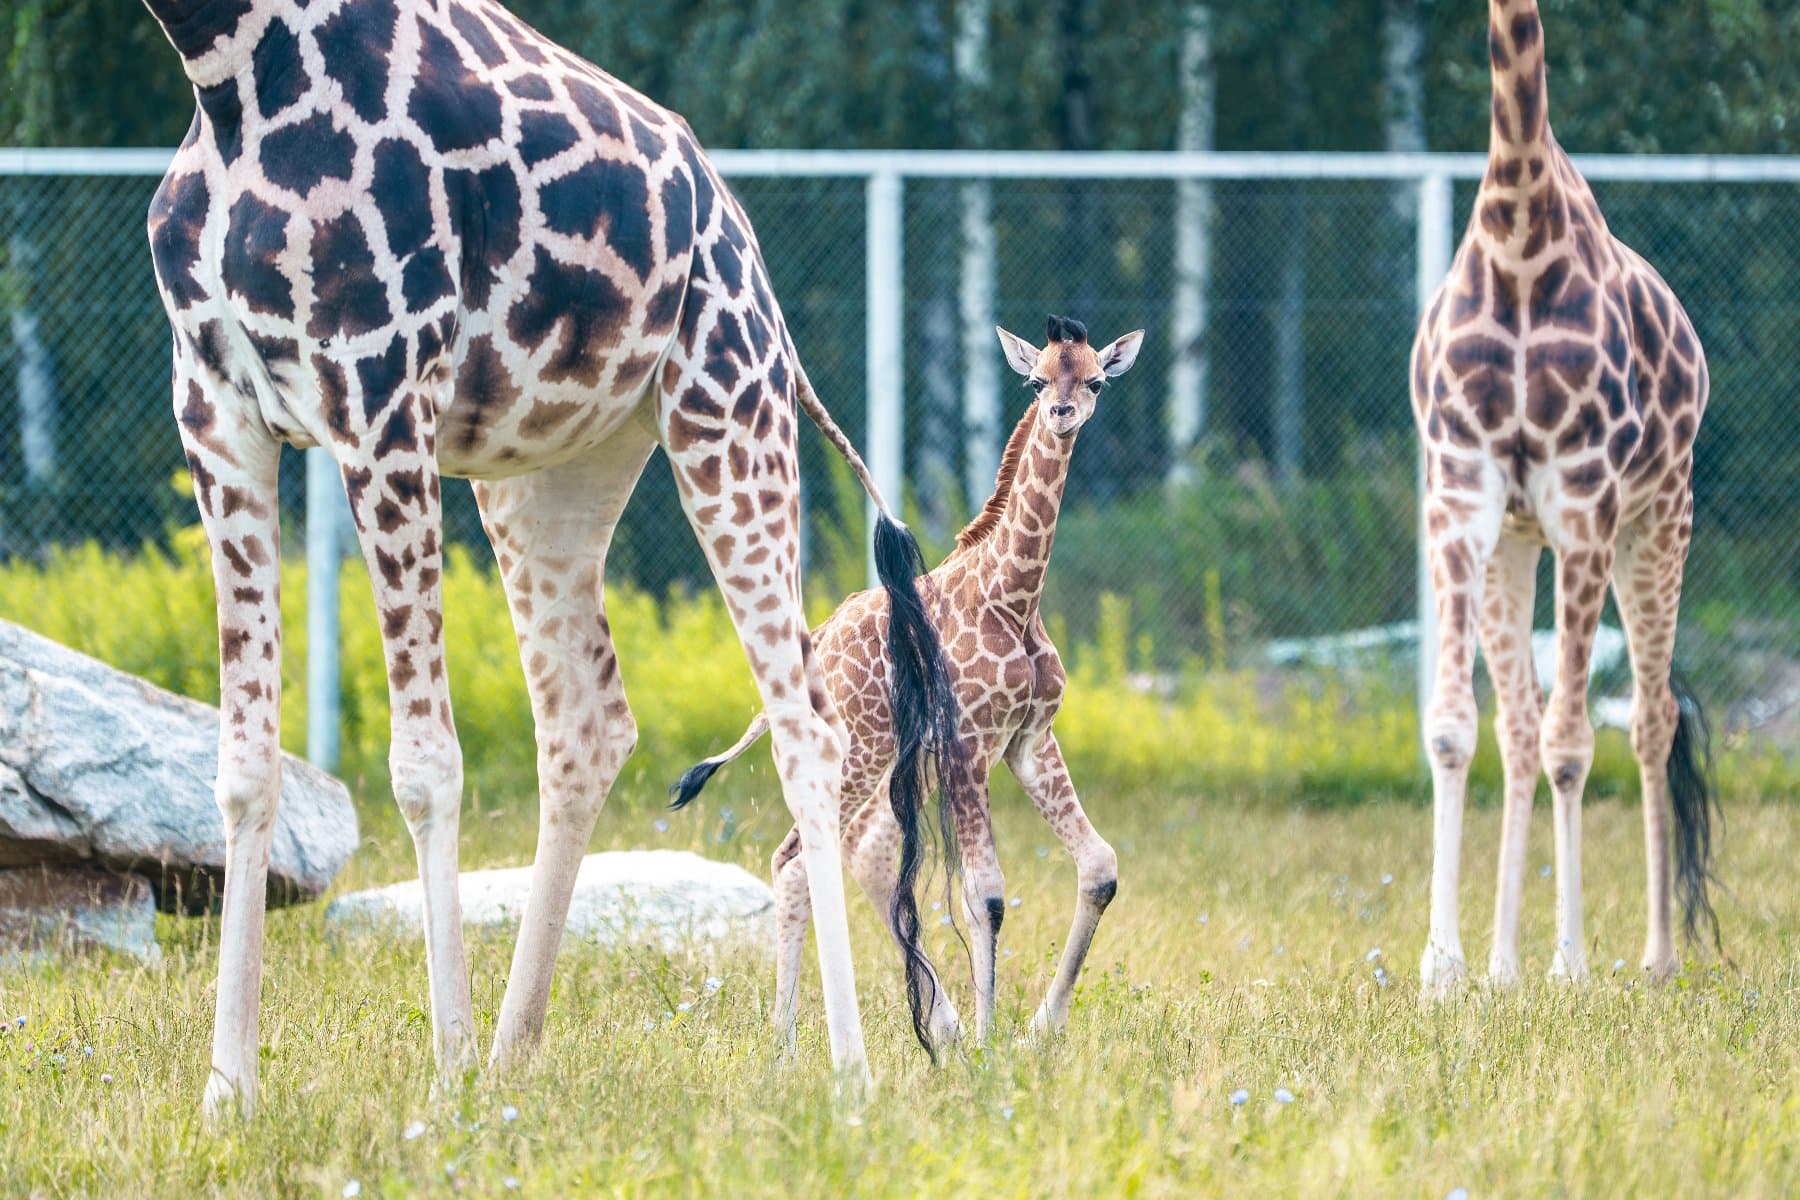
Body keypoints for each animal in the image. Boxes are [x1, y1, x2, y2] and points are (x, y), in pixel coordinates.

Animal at [139, 0, 969, 1116]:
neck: (227, 67)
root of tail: (740, 230)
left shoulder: (379, 392)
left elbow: (423, 764)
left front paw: (442, 1078)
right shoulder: (214, 407)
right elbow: (242, 767)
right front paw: (228, 1093)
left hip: (728, 403)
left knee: (808, 732)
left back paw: (847, 1070)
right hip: (547, 475)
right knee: (587, 720)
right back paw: (510, 1053)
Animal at [675, 316, 1144, 1050]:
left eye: (1095, 380)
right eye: (1037, 380)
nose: (1062, 413)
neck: (1014, 598)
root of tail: (817, 643)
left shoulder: (1028, 740)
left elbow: (1099, 868)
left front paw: (1039, 1029)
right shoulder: (972, 744)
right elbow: (985, 895)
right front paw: (989, 1044)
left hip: (898, 758)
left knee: (860, 852)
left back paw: (935, 1026)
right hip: (861, 749)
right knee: (798, 859)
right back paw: (786, 1042)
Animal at [1411, 0, 1719, 998]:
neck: (1517, 227)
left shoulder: (1586, 504)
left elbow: (1574, 742)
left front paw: (1573, 964)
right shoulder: (1460, 499)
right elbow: (1454, 729)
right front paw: (1445, 967)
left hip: (1658, 521)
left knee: (1652, 720)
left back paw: (1656, 958)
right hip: (1516, 544)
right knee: (1514, 726)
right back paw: (1502, 966)